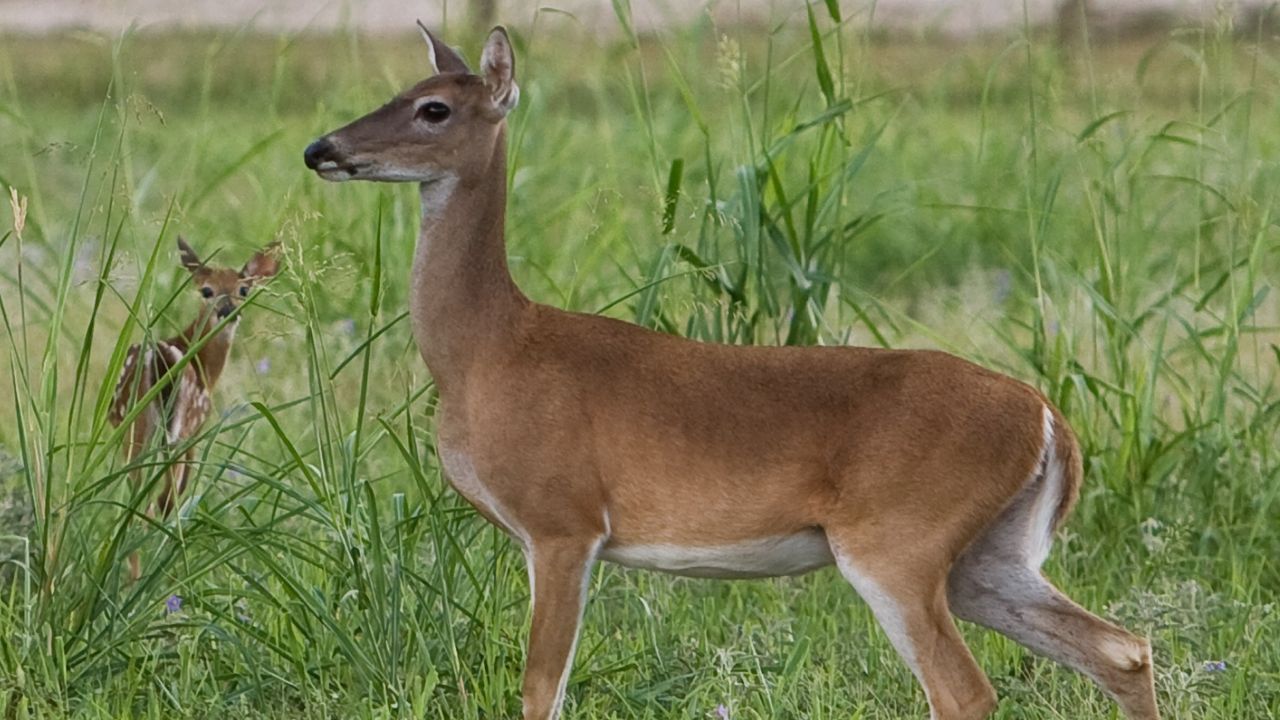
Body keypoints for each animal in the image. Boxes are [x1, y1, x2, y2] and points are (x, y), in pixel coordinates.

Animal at [110, 237, 282, 576]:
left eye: (243, 290)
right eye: (207, 290)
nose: (227, 311)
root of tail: (158, 358)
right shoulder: (196, 429)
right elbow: (174, 495)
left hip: (132, 428)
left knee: (136, 502)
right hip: (174, 430)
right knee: (161, 501)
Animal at [304, 25, 1167, 717]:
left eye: (434, 109)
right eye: (396, 91)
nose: (322, 150)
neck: (488, 349)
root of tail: (1049, 418)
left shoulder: (563, 520)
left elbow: (541, 688)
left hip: (899, 539)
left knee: (965, 689)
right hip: (987, 555)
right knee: (1121, 649)